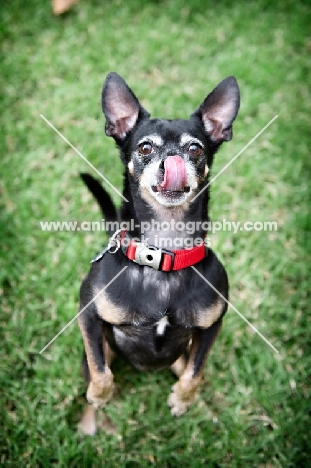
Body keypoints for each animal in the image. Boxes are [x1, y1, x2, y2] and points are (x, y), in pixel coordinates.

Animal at [77, 73, 239, 436]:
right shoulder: (88, 314)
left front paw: (182, 400)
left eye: (194, 149)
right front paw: (100, 395)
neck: (163, 255)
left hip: (183, 354)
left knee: (189, 369)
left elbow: (195, 373)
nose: (171, 159)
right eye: (145, 148)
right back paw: (90, 422)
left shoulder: (212, 327)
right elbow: (100, 373)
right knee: (95, 368)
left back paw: (202, 409)